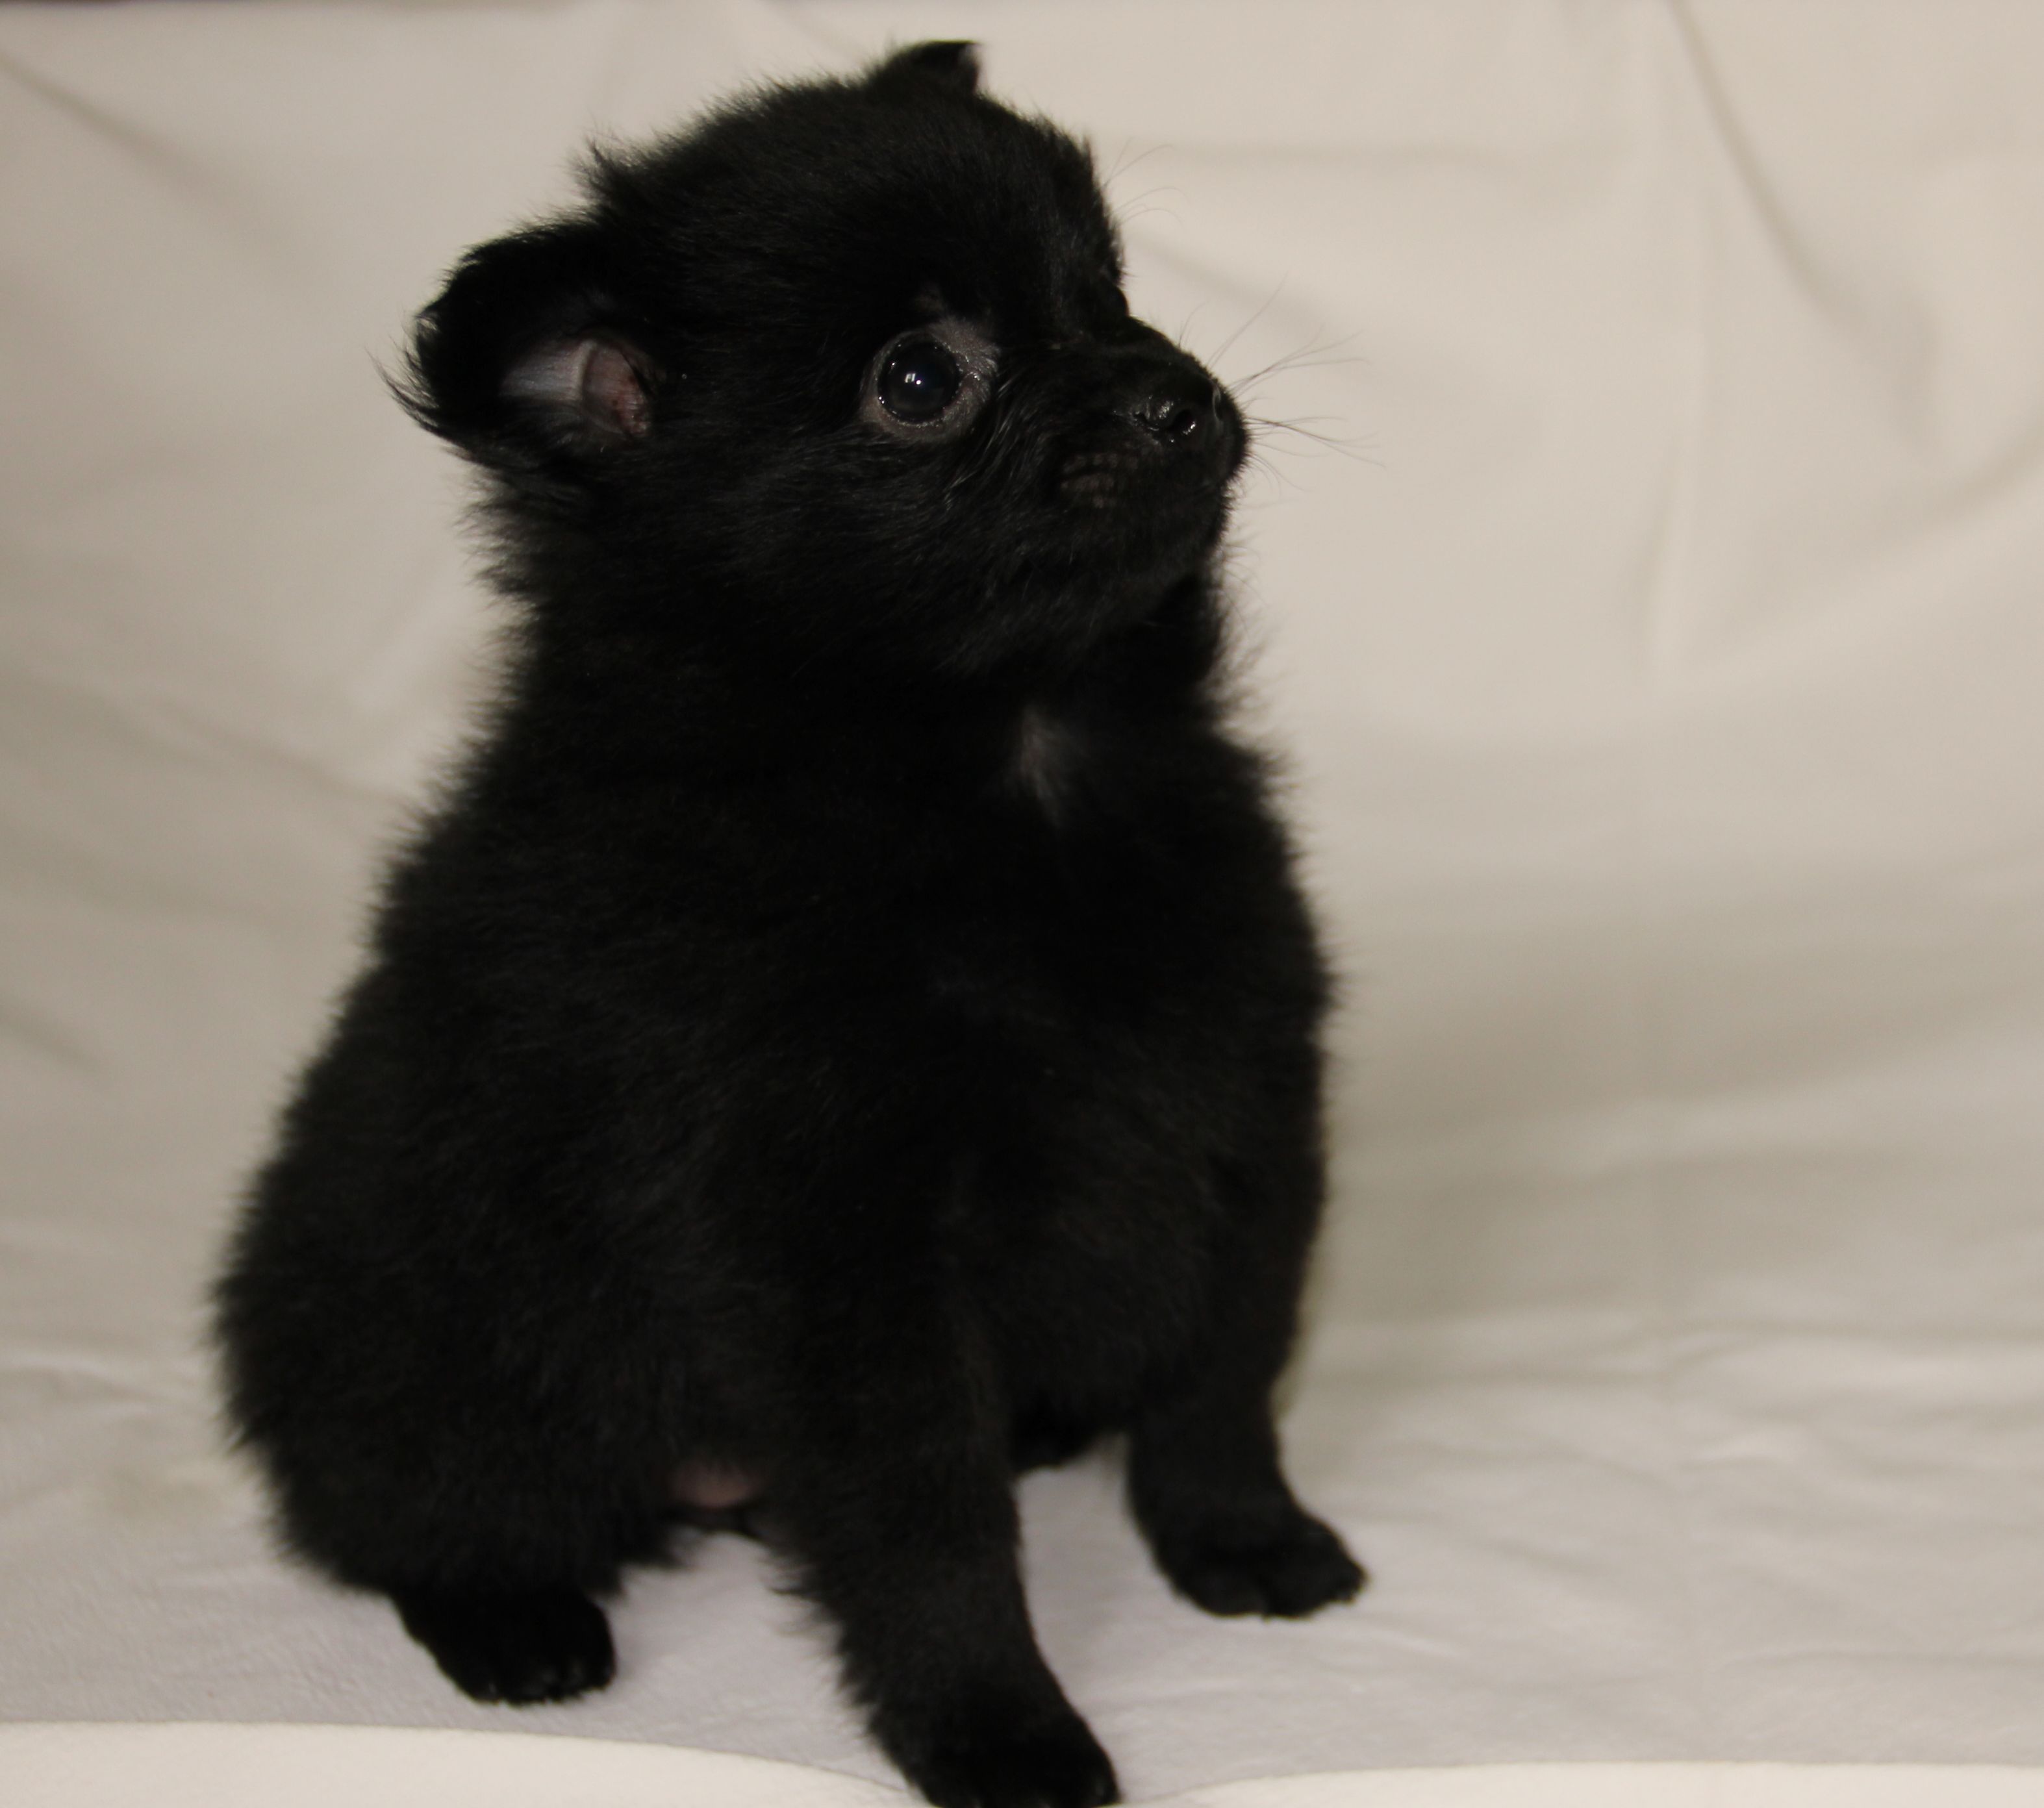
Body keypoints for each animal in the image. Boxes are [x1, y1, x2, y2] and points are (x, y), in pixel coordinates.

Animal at [213, 42, 1362, 1808]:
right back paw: (515, 1625)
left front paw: (1239, 1537)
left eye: (1103, 289)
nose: (1176, 393)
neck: (1015, 769)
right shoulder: (834, 1246)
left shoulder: (1237, 1098)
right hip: (451, 1359)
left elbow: (1219, 1373)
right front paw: (999, 1727)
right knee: (409, 1512)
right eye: (919, 377)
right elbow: (927, 1521)